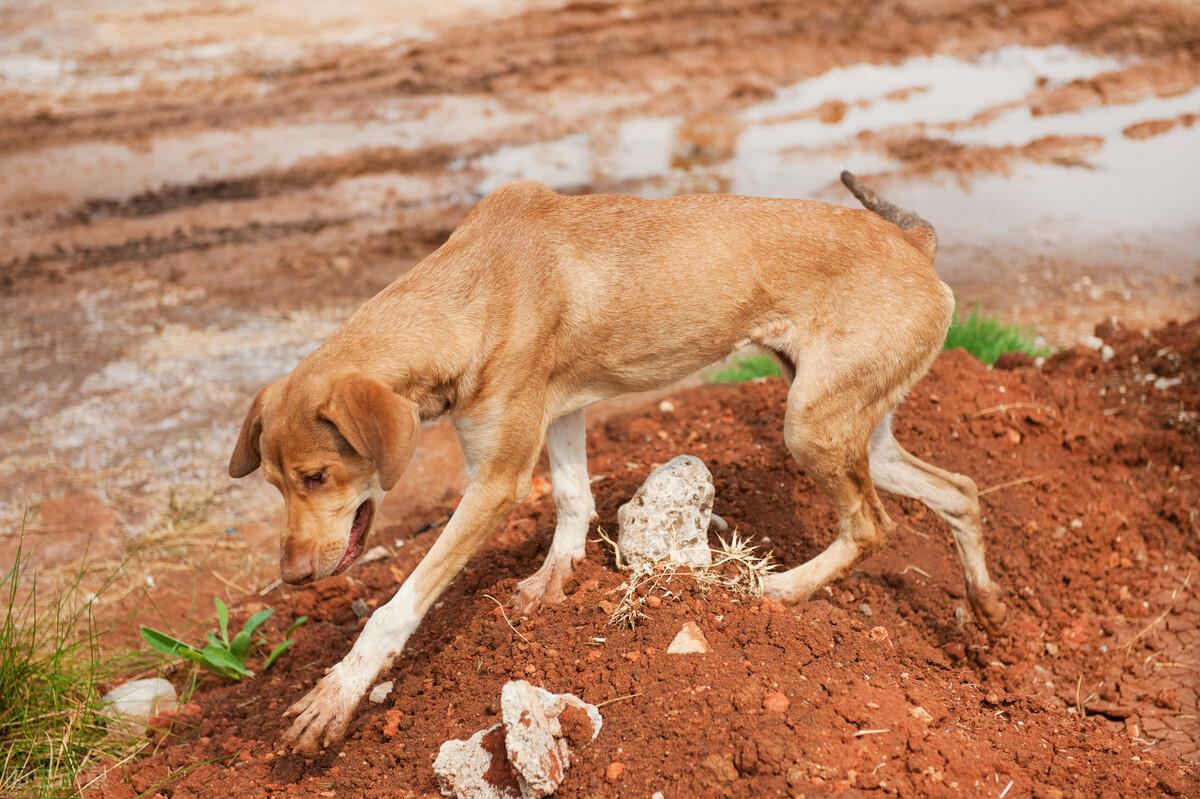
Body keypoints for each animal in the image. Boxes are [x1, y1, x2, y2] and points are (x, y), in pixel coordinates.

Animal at [229, 171, 1008, 748]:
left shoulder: (496, 480)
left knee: (874, 525)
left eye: (317, 476)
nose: (291, 578)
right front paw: (555, 579)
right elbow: (574, 498)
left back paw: (781, 591)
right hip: (856, 425)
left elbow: (396, 605)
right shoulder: (562, 411)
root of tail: (913, 243)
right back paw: (989, 612)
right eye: (274, 484)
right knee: (960, 489)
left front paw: (338, 691)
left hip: (811, 425)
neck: (467, 294)